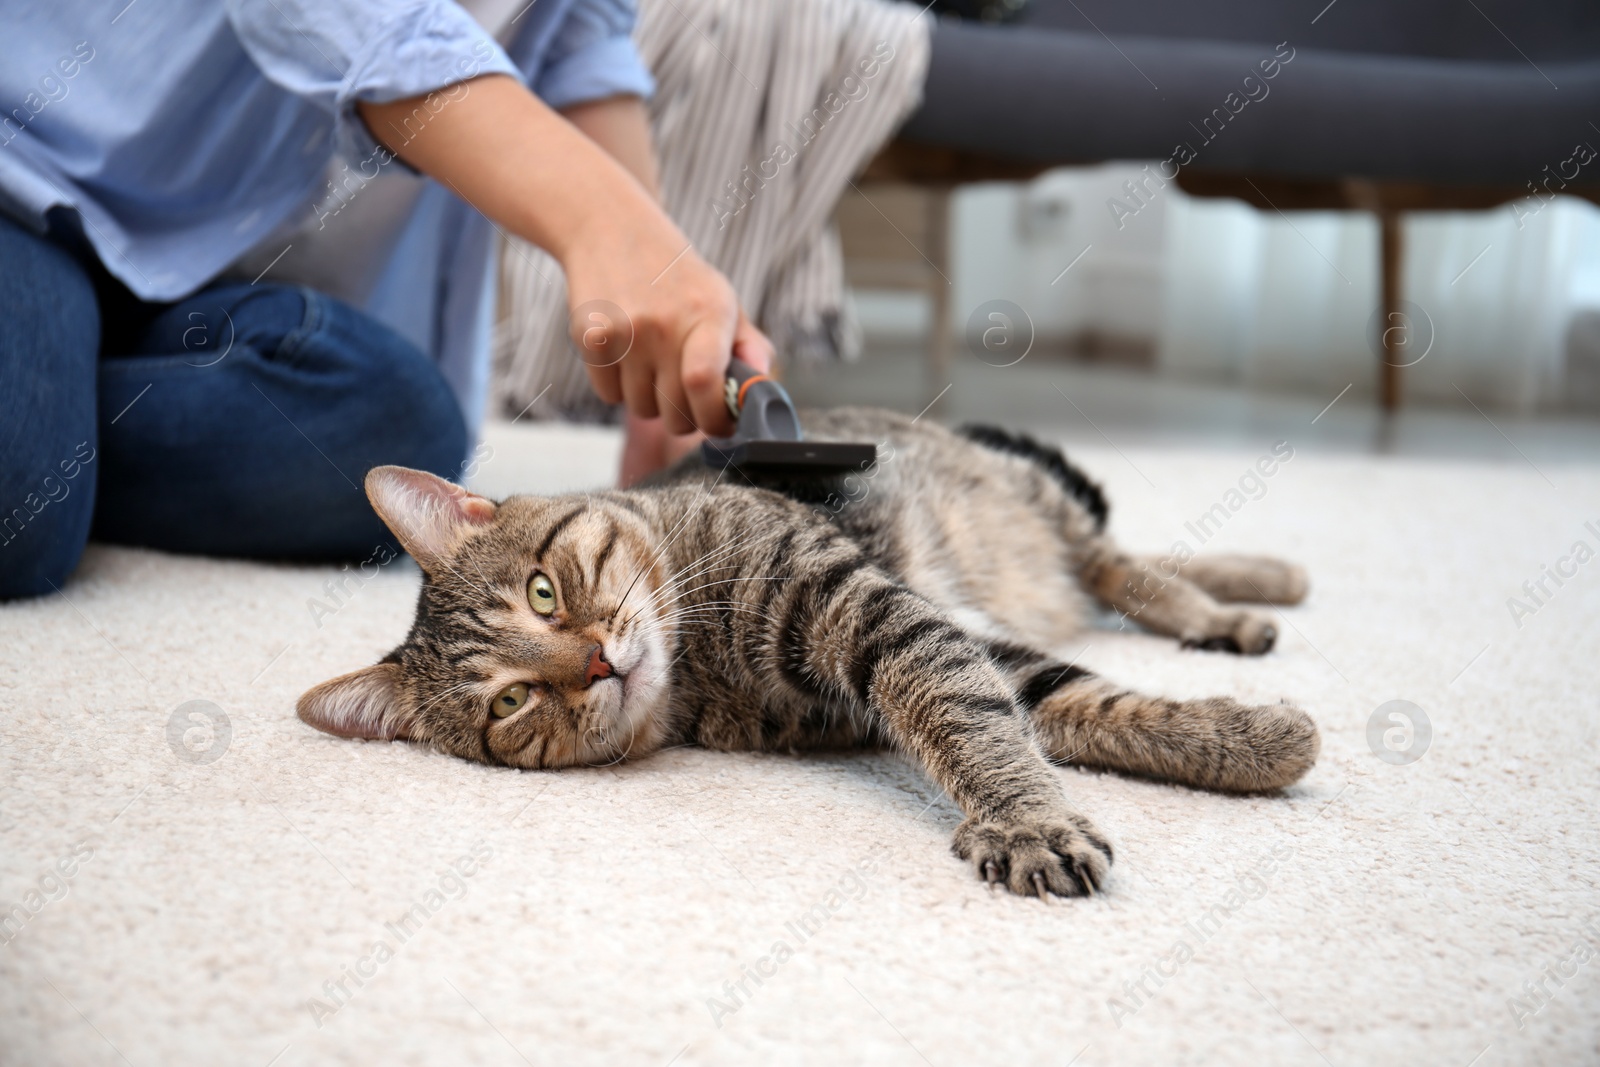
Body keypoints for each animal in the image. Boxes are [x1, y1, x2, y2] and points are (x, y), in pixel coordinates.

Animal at [297, 409, 1312, 902]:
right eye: (509, 703)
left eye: (544, 593)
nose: (594, 666)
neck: (699, 660)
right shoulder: (965, 649)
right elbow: (1073, 708)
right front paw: (1244, 742)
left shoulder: (873, 610)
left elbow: (971, 721)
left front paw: (1031, 819)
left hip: (1028, 499)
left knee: (1121, 562)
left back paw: (1242, 598)